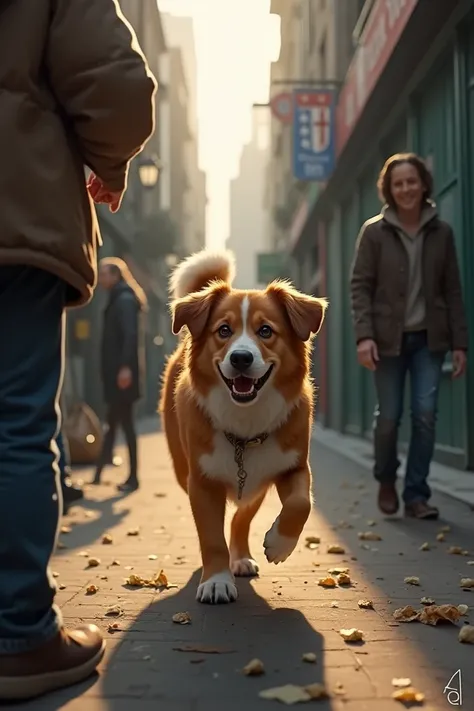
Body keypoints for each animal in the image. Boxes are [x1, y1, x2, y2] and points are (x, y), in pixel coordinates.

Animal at [159, 250, 326, 608]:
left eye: (265, 331)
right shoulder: (202, 482)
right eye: (224, 330)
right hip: (183, 469)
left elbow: (301, 504)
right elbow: (211, 537)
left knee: (241, 518)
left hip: (256, 483)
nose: (240, 358)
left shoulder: (293, 467)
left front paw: (280, 544)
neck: (245, 421)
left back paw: (242, 556)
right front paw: (217, 581)